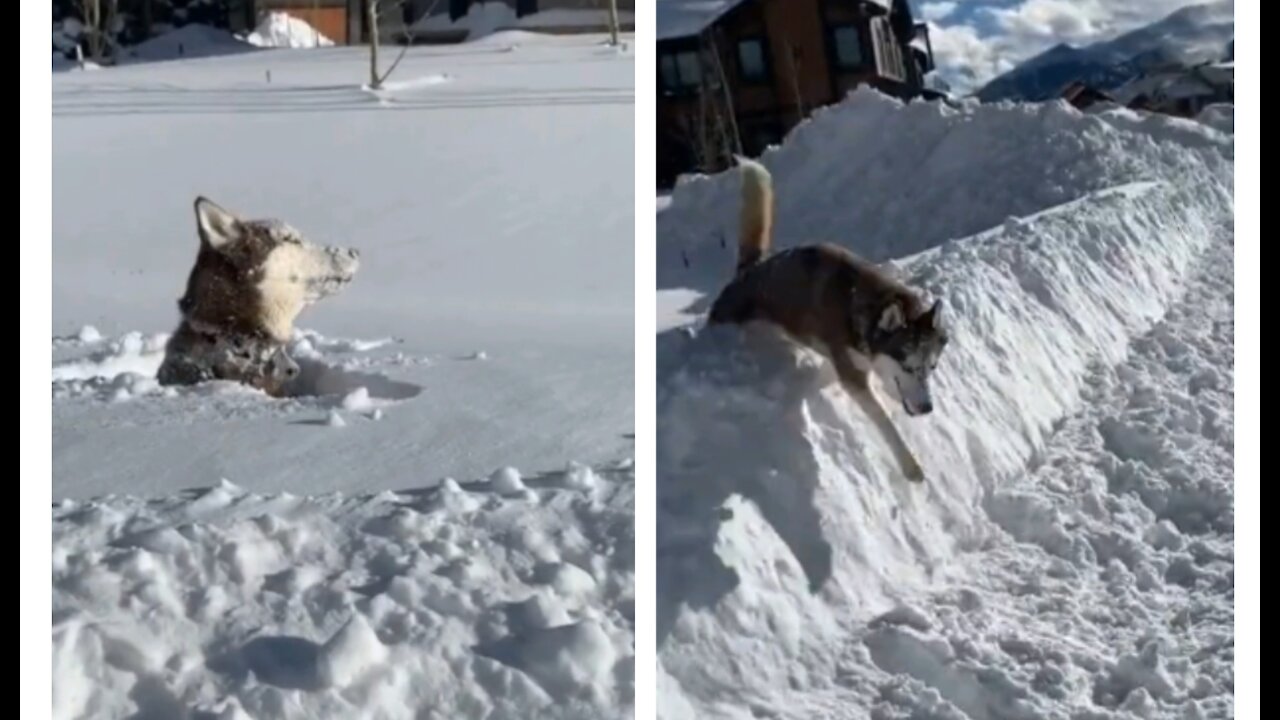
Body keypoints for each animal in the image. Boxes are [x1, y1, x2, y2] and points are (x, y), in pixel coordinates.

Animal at [706, 157, 947, 481]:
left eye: (932, 366)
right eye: (908, 366)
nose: (926, 408)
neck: (859, 302)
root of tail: (749, 271)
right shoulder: (852, 376)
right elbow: (886, 424)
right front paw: (910, 465)